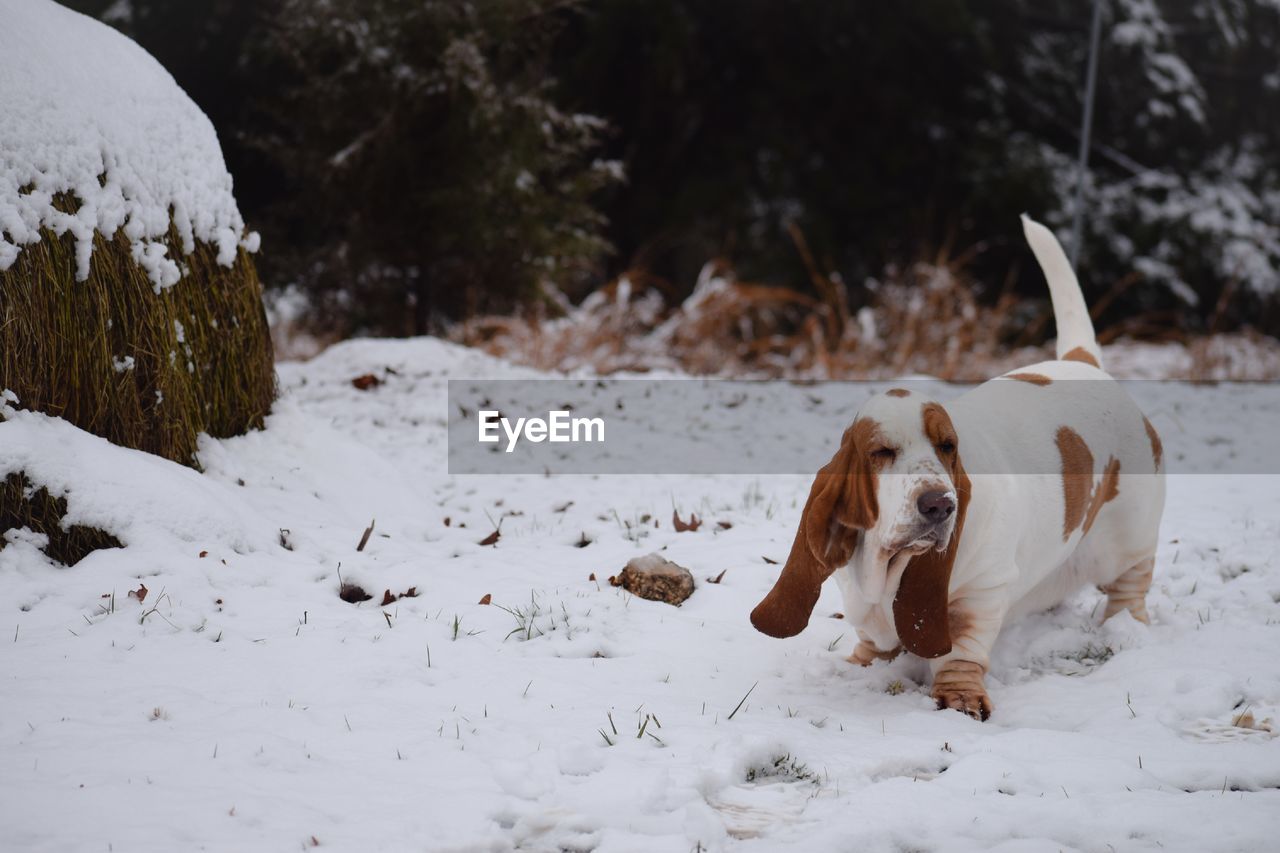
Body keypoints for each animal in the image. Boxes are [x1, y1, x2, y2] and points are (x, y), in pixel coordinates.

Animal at [752, 213, 1167, 717]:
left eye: (947, 446)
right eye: (881, 452)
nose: (938, 506)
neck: (889, 565)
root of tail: (1085, 364)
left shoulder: (980, 593)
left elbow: (960, 650)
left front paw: (961, 698)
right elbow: (871, 635)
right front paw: (862, 664)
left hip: (1129, 539)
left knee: (1130, 586)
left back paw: (1125, 631)